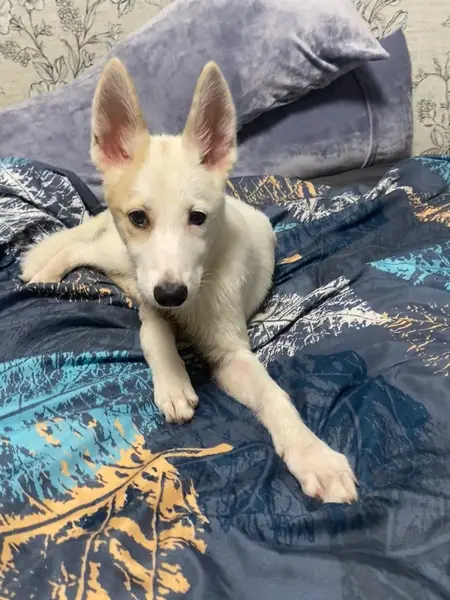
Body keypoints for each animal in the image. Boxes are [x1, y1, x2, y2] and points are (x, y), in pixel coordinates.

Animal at [21, 58, 357, 503]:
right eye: (139, 218)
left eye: (198, 218)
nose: (171, 294)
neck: (199, 285)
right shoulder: (152, 305)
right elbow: (155, 334)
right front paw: (173, 381)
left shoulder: (230, 355)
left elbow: (274, 395)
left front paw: (312, 454)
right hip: (119, 254)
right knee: (79, 246)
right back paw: (46, 269)